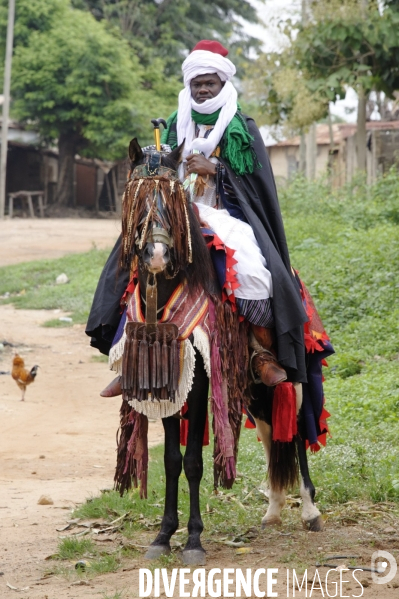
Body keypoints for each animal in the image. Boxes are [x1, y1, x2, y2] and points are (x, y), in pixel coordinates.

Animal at [111, 137, 330, 568]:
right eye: (137, 199)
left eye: (175, 203)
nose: (157, 256)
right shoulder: (171, 381)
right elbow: (171, 460)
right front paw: (164, 535)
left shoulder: (200, 382)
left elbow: (193, 462)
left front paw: (194, 540)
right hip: (252, 388)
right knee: (271, 432)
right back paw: (273, 508)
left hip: (292, 374)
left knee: (296, 430)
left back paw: (309, 509)